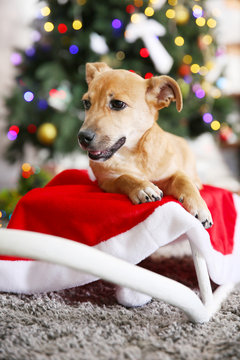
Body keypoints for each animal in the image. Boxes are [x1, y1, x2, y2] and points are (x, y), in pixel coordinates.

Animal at [78, 62, 213, 229]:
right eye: (86, 103)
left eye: (118, 104)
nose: (82, 137)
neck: (135, 154)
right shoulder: (105, 182)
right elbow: (124, 177)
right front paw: (143, 187)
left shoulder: (170, 173)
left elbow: (183, 180)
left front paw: (200, 207)